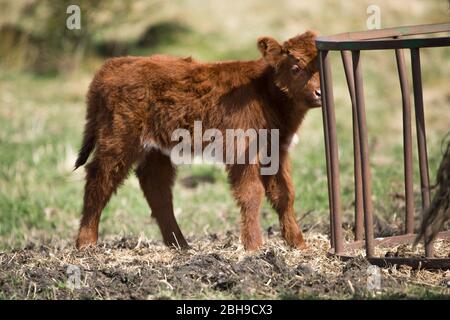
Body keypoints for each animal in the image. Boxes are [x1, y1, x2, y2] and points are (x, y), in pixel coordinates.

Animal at [74, 30, 320, 250]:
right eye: (296, 68)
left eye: (322, 68)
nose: (319, 93)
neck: (263, 91)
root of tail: (114, 64)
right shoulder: (242, 151)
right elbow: (252, 193)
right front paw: (254, 246)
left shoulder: (276, 151)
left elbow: (284, 194)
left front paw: (298, 243)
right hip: (118, 140)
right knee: (99, 180)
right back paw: (86, 242)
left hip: (157, 149)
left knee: (156, 188)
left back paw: (179, 244)